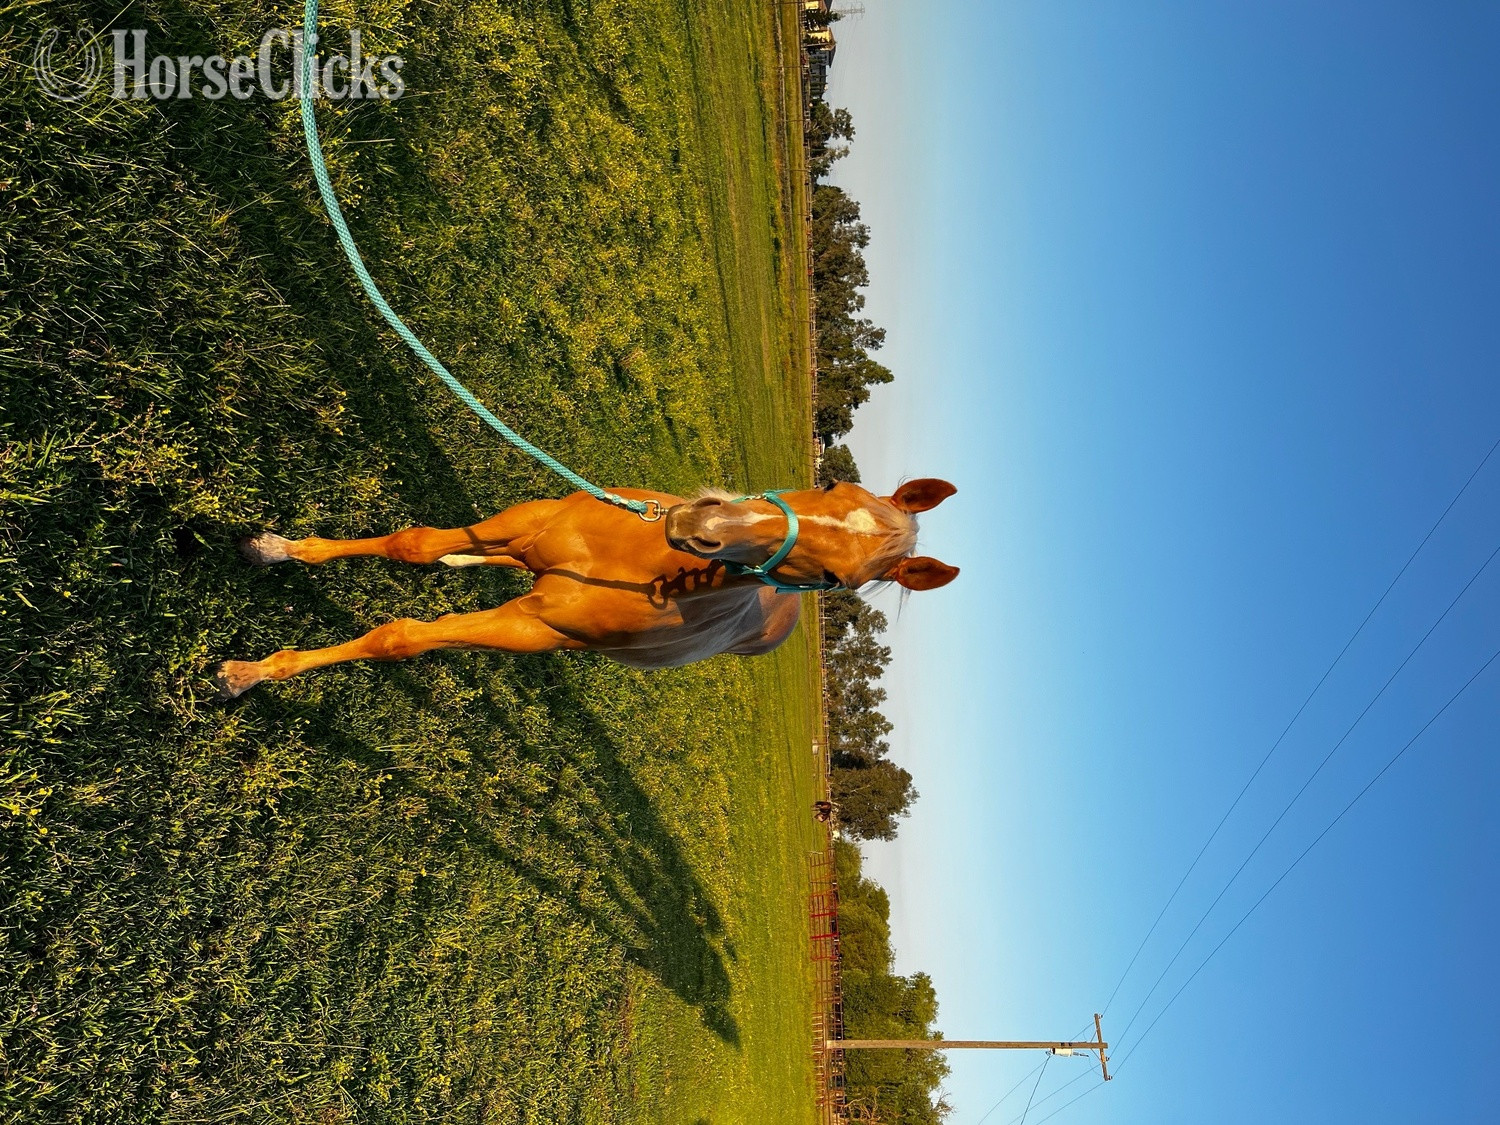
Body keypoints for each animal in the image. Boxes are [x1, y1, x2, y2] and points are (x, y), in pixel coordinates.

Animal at [213, 478, 958, 698]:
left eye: (838, 580)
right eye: (832, 483)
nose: (706, 522)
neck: (632, 562)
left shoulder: (531, 628)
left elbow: (399, 639)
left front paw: (247, 673)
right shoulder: (525, 525)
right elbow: (412, 543)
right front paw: (275, 547)